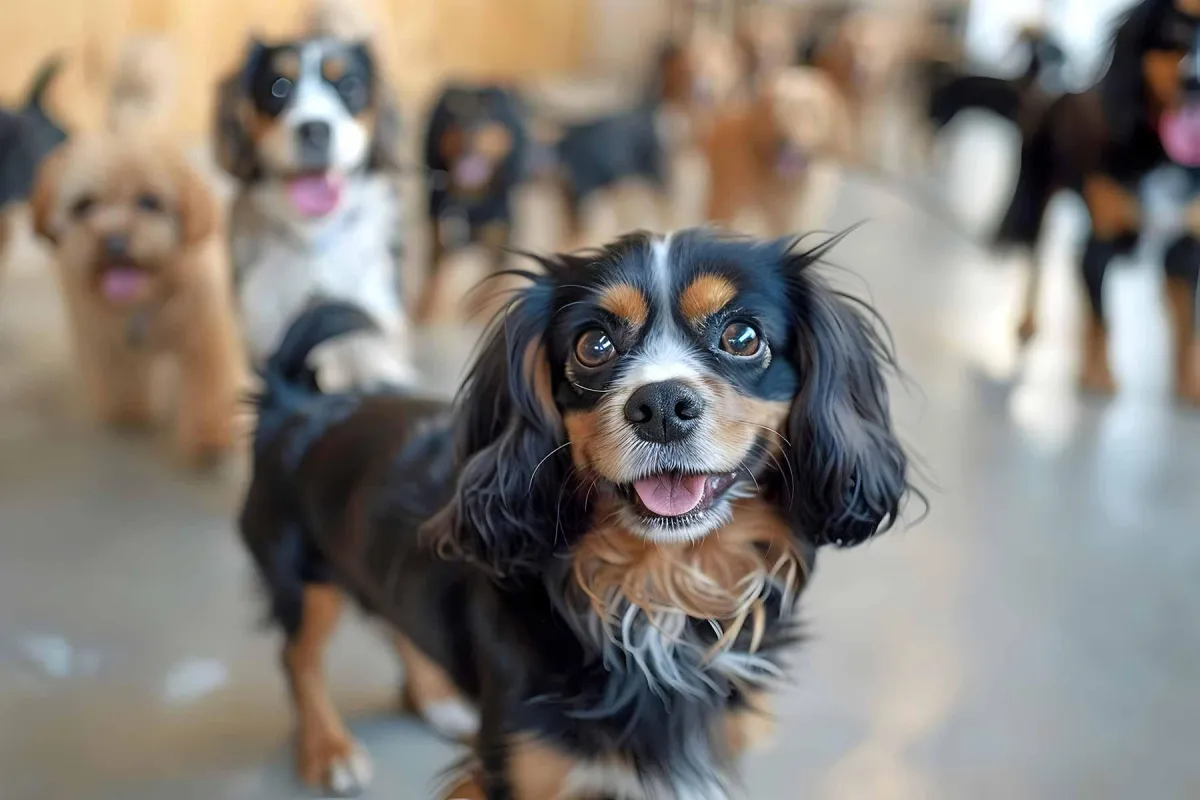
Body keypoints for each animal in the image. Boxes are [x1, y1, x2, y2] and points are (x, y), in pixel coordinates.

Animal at [31, 135, 242, 465]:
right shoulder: (106, 341)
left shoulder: (204, 341)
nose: (114, 242)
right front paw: (129, 412)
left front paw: (210, 437)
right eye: (83, 205)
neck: (144, 300)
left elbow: (209, 389)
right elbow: (122, 379)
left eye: (149, 202)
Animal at [218, 35, 415, 393]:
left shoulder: (376, 309)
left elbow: (365, 346)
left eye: (349, 85)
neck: (312, 237)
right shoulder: (262, 324)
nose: (314, 130)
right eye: (279, 87)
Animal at [238, 227, 912, 796]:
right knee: (297, 658)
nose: (662, 405)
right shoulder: (519, 771)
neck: (659, 589)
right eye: (594, 345)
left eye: (742, 338)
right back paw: (329, 748)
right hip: (304, 580)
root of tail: (295, 403)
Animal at [420, 86, 528, 323]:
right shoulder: (439, 237)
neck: (471, 195)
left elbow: (495, 279)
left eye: (489, 115)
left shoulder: (501, 243)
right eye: (456, 114)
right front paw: (426, 307)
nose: (470, 134)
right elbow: (433, 279)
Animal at [998, 0, 1200, 400]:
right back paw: (1029, 320)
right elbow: (1103, 318)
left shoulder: (1186, 250)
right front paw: (1097, 374)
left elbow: (1189, 327)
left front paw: (1190, 381)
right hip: (1037, 200)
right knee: (1036, 264)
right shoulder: (1101, 243)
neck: (1163, 155)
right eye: (1176, 27)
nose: (1194, 81)